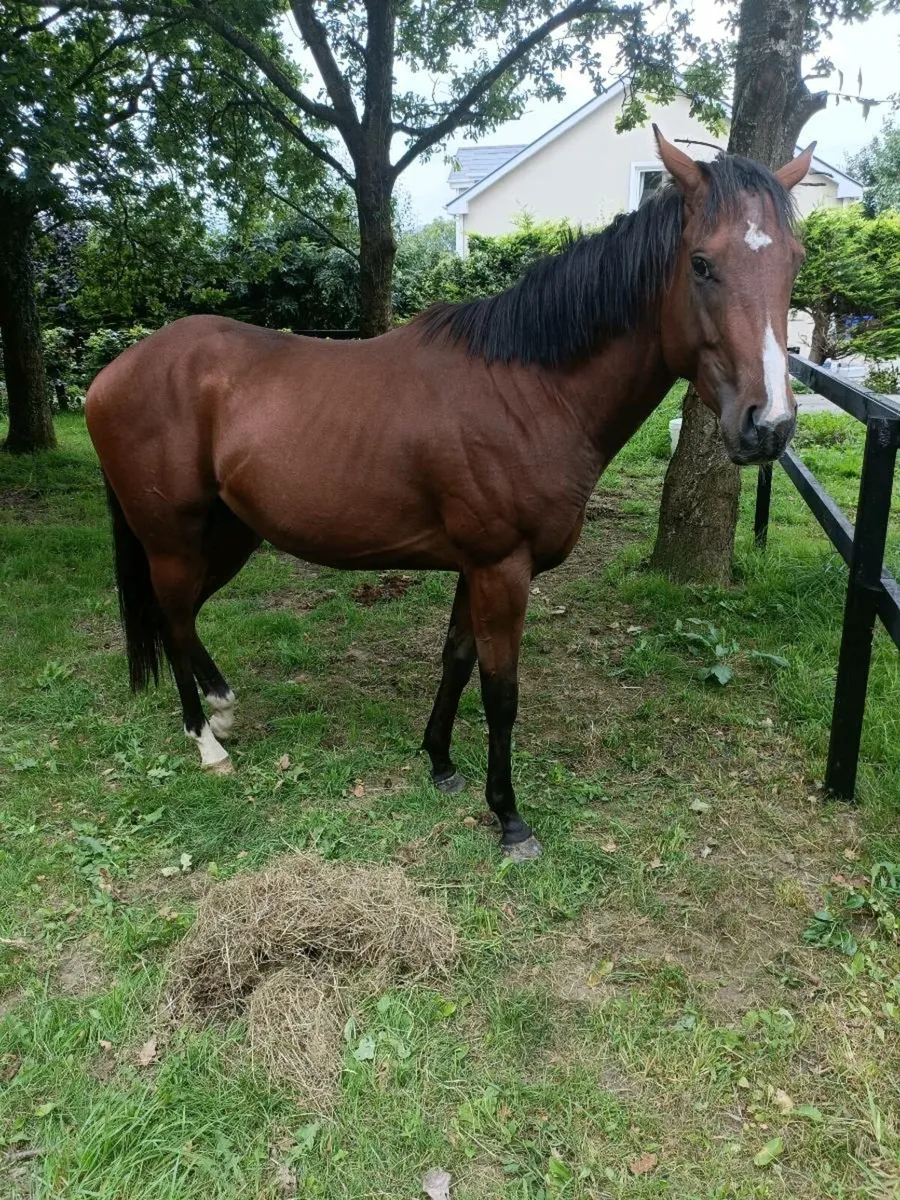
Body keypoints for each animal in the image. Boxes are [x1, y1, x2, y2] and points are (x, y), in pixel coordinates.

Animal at [86, 131, 813, 860]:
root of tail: (112, 373)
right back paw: (206, 741)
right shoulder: (502, 569)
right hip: (174, 540)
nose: (769, 425)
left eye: (795, 262)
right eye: (702, 264)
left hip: (231, 534)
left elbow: (457, 662)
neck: (529, 392)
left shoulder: (475, 567)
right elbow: (500, 692)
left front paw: (439, 762)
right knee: (174, 617)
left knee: (180, 617)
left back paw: (222, 709)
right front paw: (510, 817)